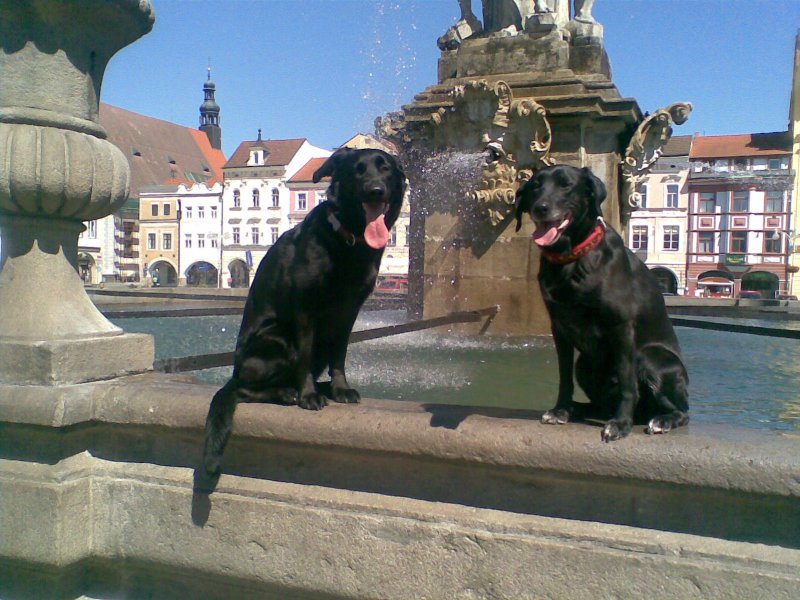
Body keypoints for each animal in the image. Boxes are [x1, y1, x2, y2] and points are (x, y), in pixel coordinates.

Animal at [203, 147, 406, 475]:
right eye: (357, 170)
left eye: (385, 168)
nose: (375, 190)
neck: (348, 240)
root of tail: (234, 371)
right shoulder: (304, 309)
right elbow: (305, 356)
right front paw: (308, 395)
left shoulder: (349, 312)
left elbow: (340, 356)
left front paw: (340, 388)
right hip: (277, 339)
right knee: (244, 389)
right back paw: (288, 392)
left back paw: (319, 386)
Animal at [514, 164, 689, 442]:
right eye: (535, 186)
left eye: (565, 184)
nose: (540, 207)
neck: (572, 257)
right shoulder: (558, 327)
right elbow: (563, 376)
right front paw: (561, 409)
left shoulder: (622, 326)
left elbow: (628, 380)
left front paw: (621, 423)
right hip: (584, 364)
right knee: (599, 403)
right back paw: (578, 409)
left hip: (651, 358)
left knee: (682, 411)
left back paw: (662, 420)